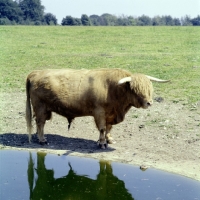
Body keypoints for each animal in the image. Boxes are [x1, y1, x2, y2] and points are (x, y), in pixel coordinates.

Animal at [25, 68, 169, 148]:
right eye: (135, 89)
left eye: (149, 88)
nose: (149, 103)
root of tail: (35, 73)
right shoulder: (99, 112)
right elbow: (102, 128)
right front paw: (102, 143)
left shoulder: (110, 114)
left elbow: (109, 128)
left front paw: (109, 139)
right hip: (40, 107)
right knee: (40, 123)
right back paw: (42, 140)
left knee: (39, 123)